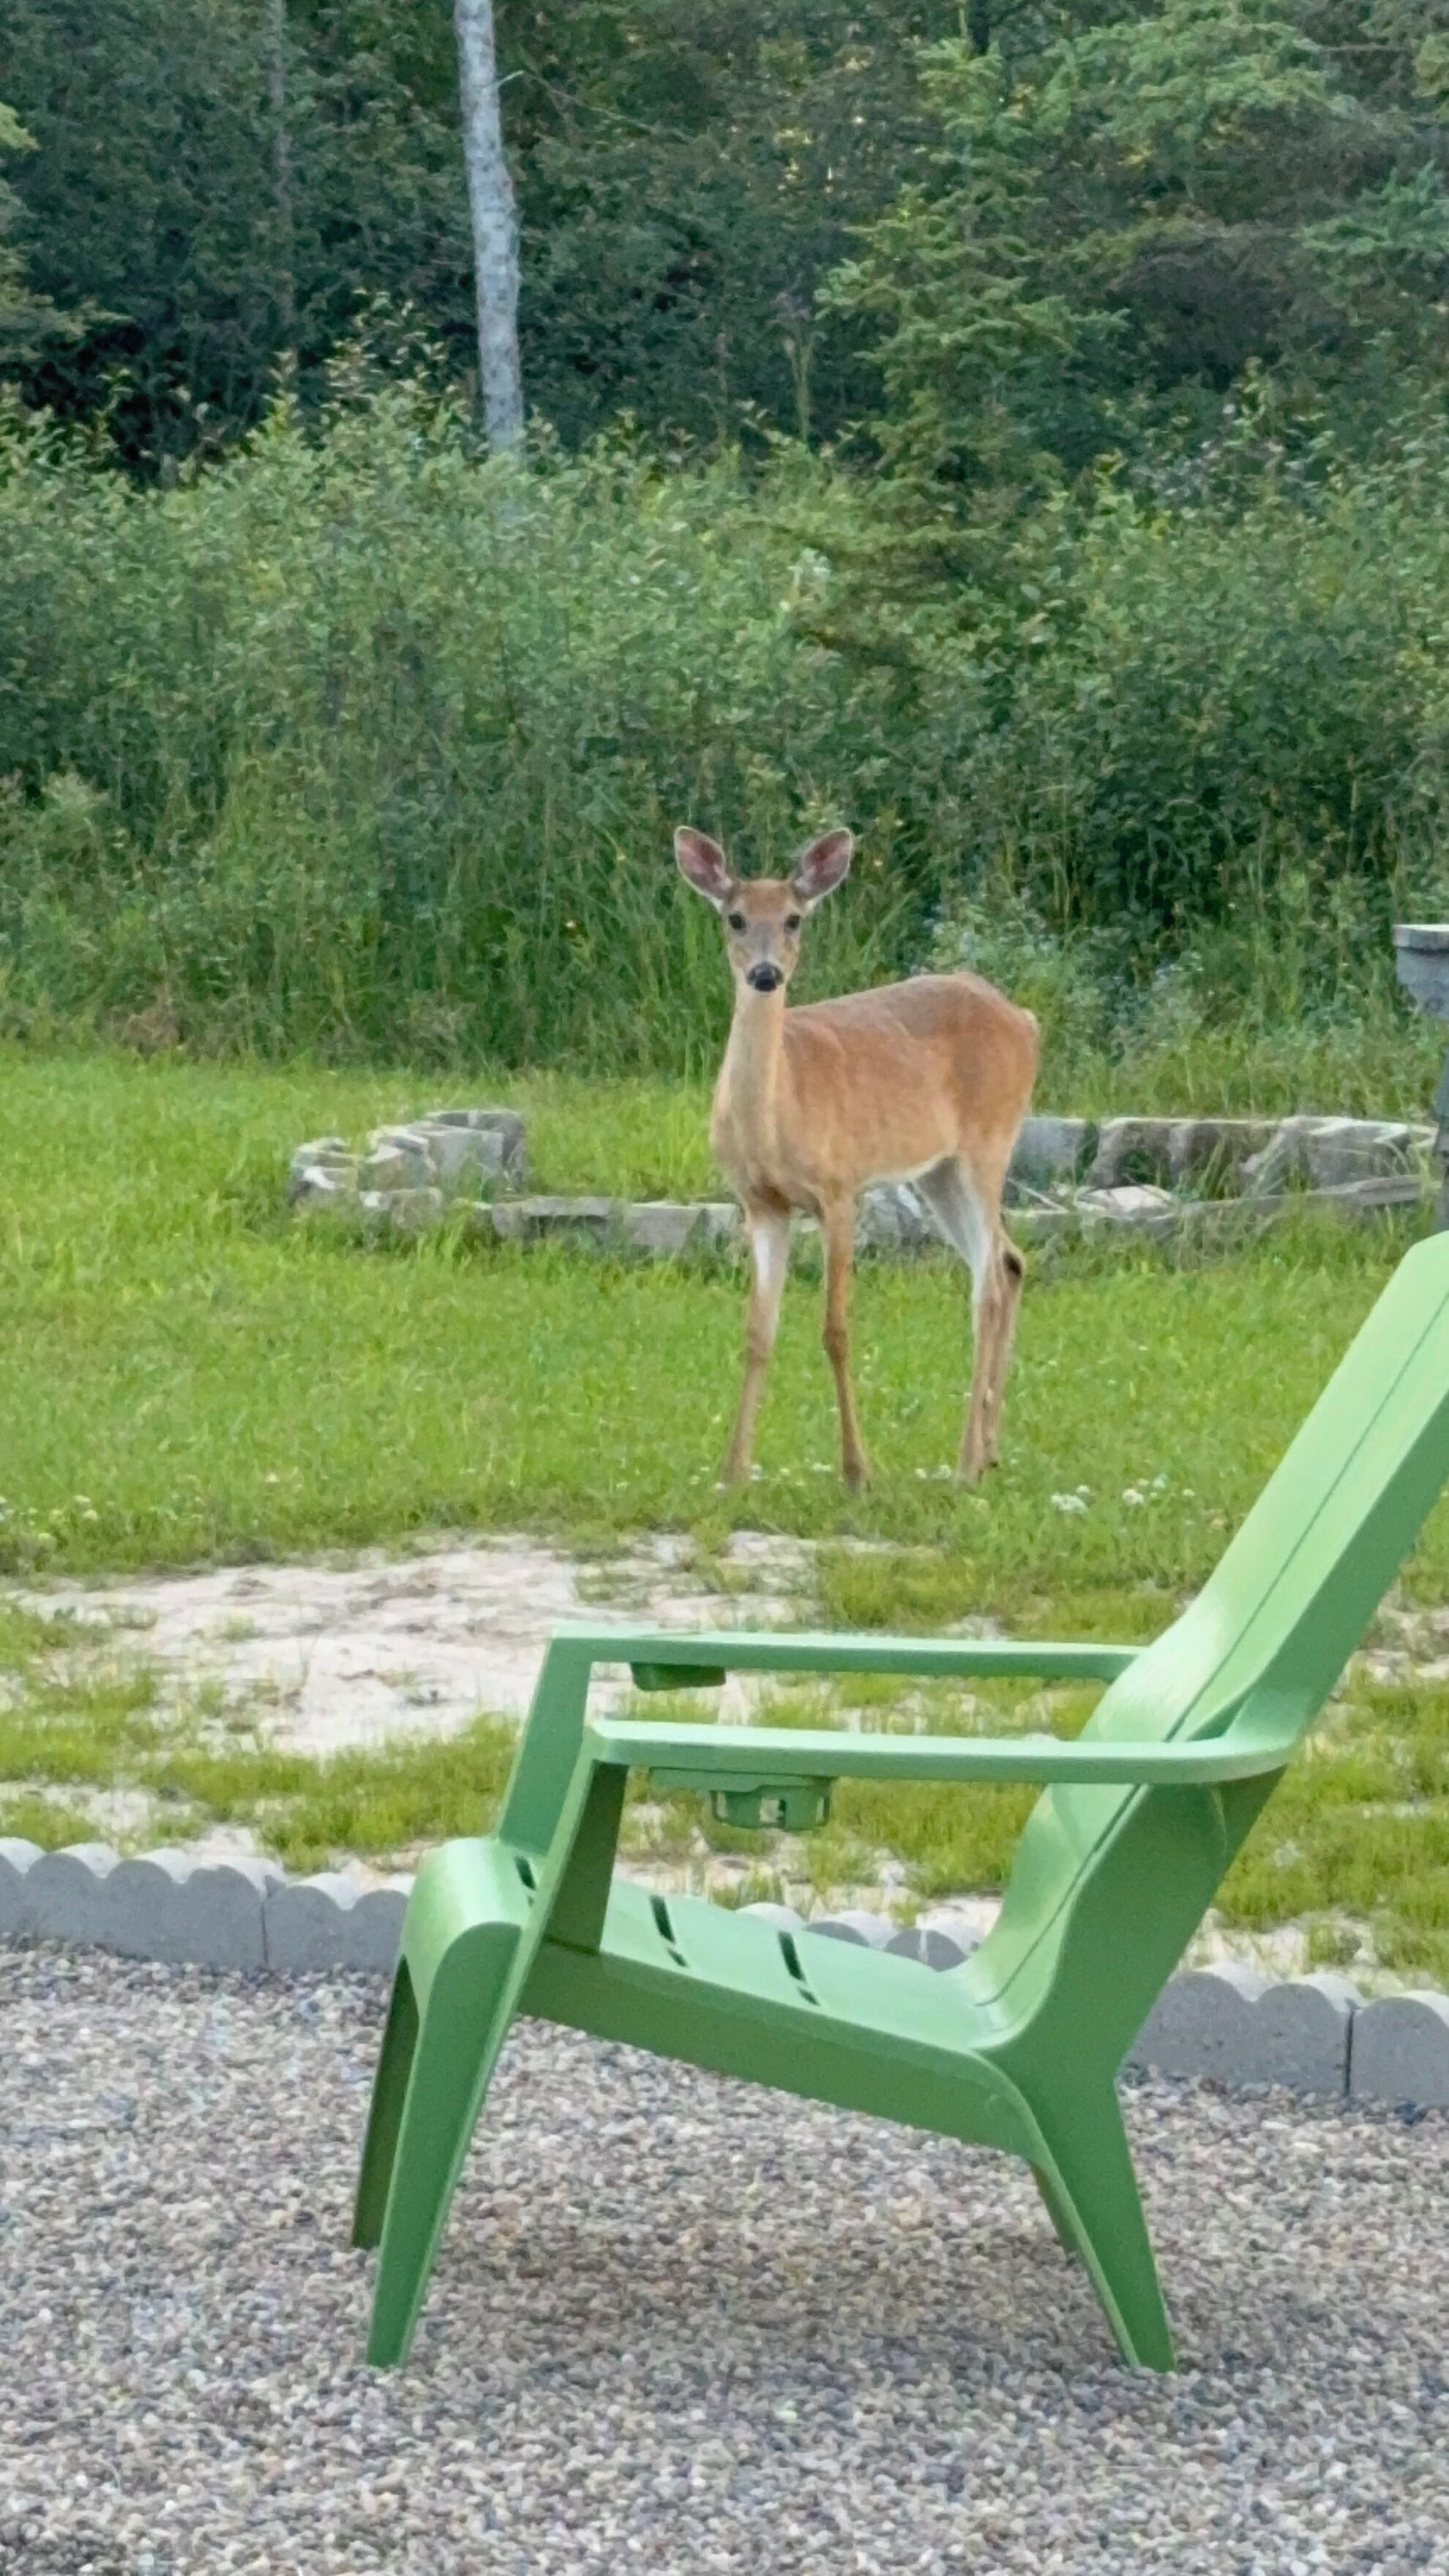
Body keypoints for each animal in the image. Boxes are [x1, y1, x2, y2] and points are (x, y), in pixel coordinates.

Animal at [676, 825, 1039, 1492]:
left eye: (793, 919)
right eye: (735, 918)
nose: (765, 974)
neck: (777, 1116)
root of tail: (1026, 1019)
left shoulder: (840, 1189)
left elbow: (836, 1330)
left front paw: (856, 1471)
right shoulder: (761, 1204)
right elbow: (757, 1331)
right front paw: (734, 1472)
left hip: (989, 1143)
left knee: (988, 1287)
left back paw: (965, 1464)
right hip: (938, 1171)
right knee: (1008, 1261)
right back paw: (989, 1450)